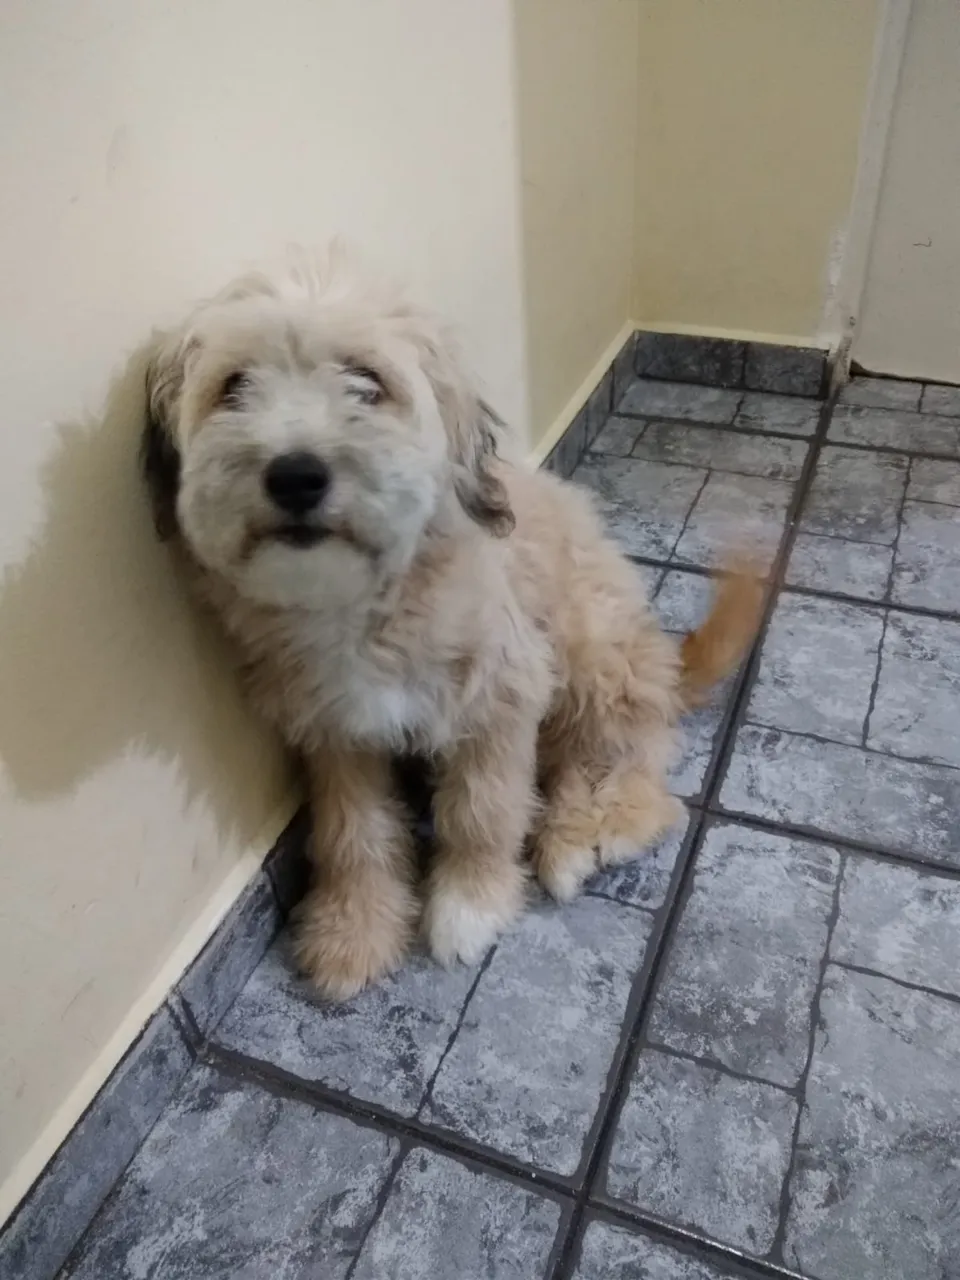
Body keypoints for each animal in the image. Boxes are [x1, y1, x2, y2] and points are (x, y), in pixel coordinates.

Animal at [143, 246, 762, 999]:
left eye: (365, 381)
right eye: (234, 386)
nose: (295, 476)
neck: (368, 602)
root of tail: (665, 663)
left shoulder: (501, 696)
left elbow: (482, 811)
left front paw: (470, 905)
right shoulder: (335, 732)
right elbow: (353, 832)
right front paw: (354, 928)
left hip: (591, 652)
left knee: (631, 765)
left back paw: (580, 832)